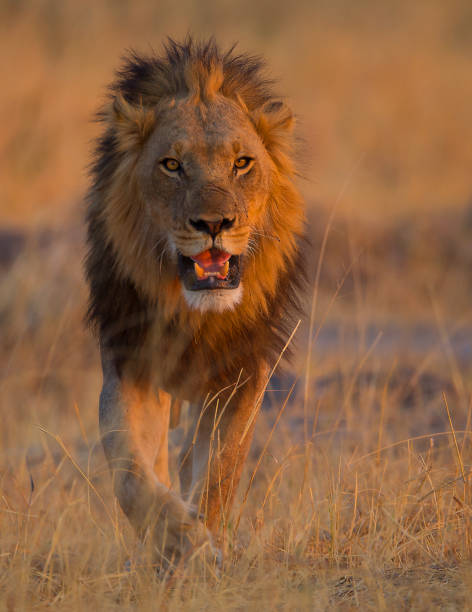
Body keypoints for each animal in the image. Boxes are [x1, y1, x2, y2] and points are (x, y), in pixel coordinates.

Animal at [85, 37, 306, 564]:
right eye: (172, 165)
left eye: (242, 163)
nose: (214, 224)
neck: (196, 314)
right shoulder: (131, 365)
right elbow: (131, 472)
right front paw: (180, 541)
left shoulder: (241, 374)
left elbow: (220, 471)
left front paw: (207, 542)